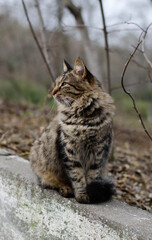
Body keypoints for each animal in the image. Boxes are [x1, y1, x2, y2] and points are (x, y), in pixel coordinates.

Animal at [29, 57, 115, 202]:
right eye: (56, 83)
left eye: (64, 84)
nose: (53, 92)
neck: (83, 118)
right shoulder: (69, 150)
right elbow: (77, 176)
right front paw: (82, 195)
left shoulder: (98, 151)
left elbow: (91, 176)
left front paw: (90, 195)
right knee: (47, 182)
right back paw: (65, 188)